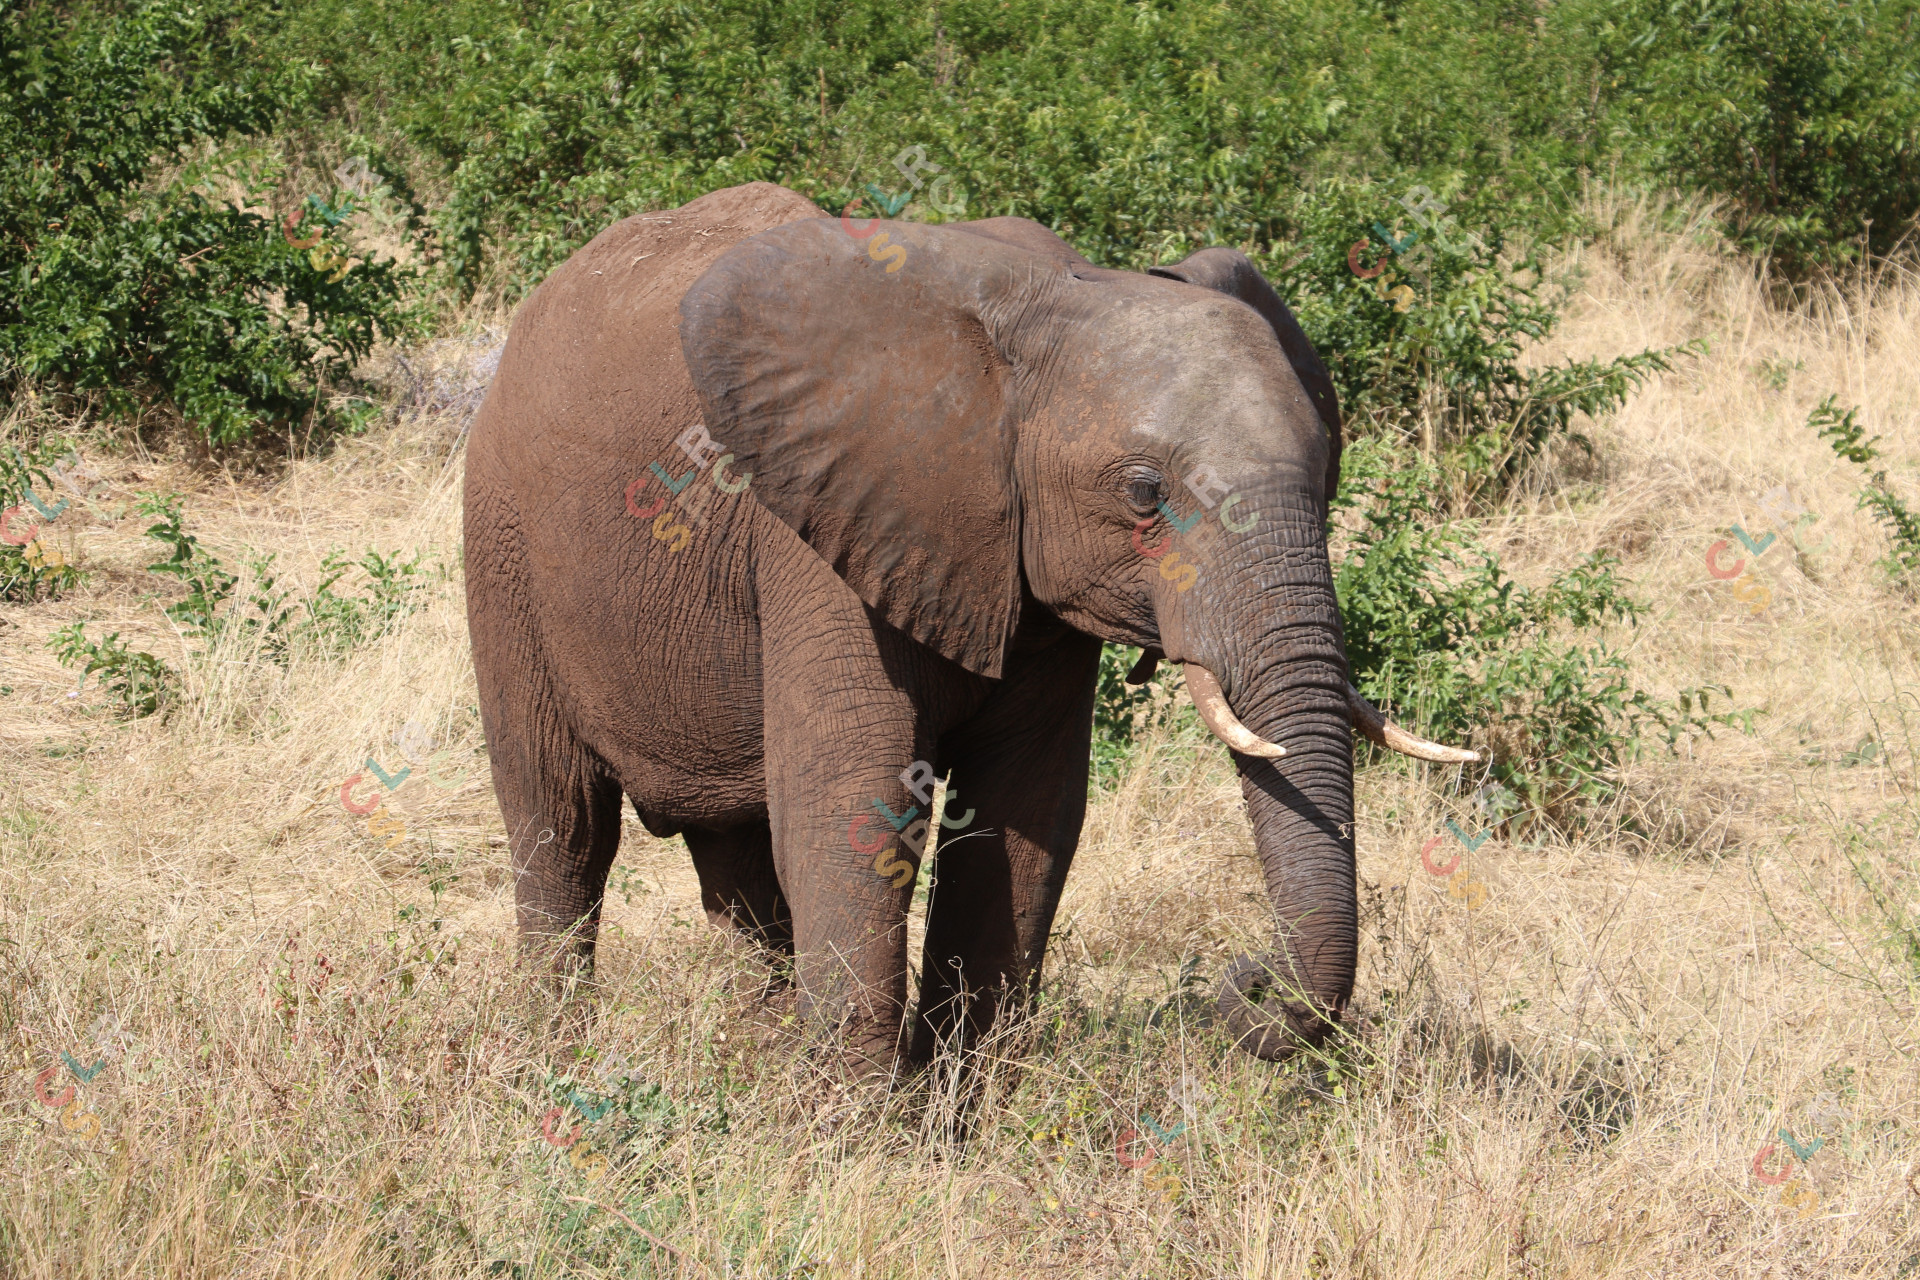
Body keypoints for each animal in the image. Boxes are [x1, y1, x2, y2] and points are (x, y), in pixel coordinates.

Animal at [463, 181, 1474, 1070]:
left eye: (1328, 476)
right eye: (1146, 494)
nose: (1244, 984)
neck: (1046, 303)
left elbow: (1029, 812)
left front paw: (963, 1109)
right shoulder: (822, 527)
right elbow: (852, 799)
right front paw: (856, 1141)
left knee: (736, 856)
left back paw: (753, 1070)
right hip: (503, 543)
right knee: (561, 824)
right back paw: (551, 1067)